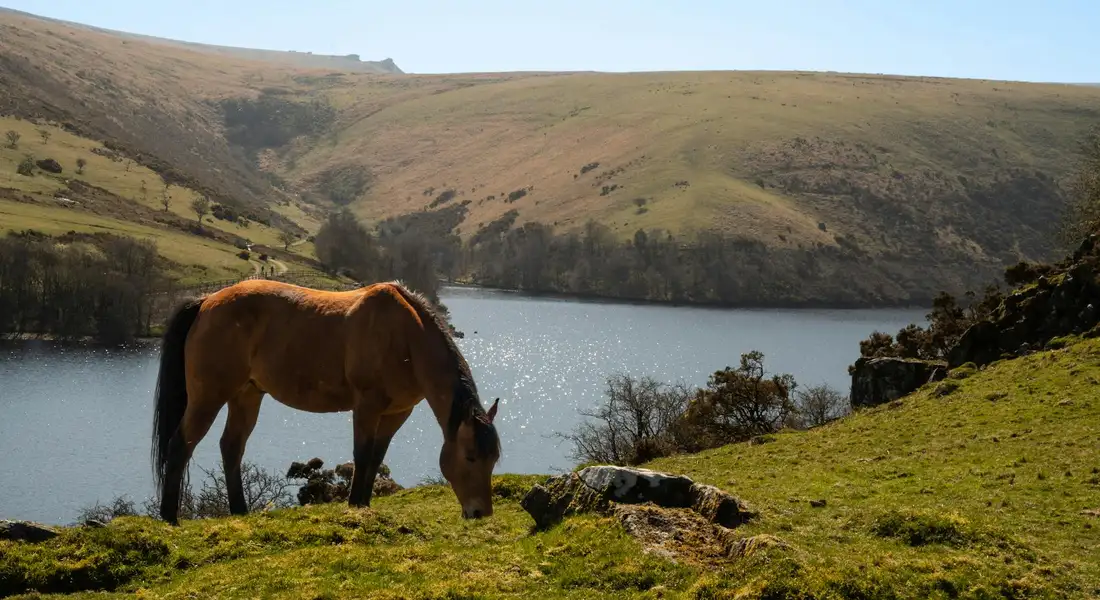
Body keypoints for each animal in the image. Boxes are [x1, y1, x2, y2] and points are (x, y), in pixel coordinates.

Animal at [150, 279, 502, 524]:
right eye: (470, 457)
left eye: (494, 458)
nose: (480, 512)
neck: (405, 339)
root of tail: (206, 301)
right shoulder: (367, 406)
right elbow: (362, 454)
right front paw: (355, 505)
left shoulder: (396, 413)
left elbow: (376, 457)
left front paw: (364, 503)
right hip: (209, 397)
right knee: (181, 445)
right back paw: (170, 517)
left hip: (246, 395)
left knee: (231, 448)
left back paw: (240, 512)